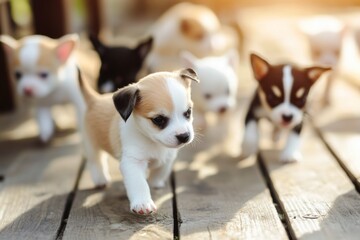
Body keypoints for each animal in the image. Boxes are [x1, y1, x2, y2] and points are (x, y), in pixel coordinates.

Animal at [78, 68, 200, 215]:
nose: (184, 136)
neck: (153, 142)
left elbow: (161, 171)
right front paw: (143, 203)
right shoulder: (132, 162)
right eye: (158, 119)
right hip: (91, 145)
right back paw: (100, 179)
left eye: (188, 112)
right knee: (96, 161)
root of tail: (95, 99)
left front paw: (155, 182)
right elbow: (139, 183)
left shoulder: (169, 157)